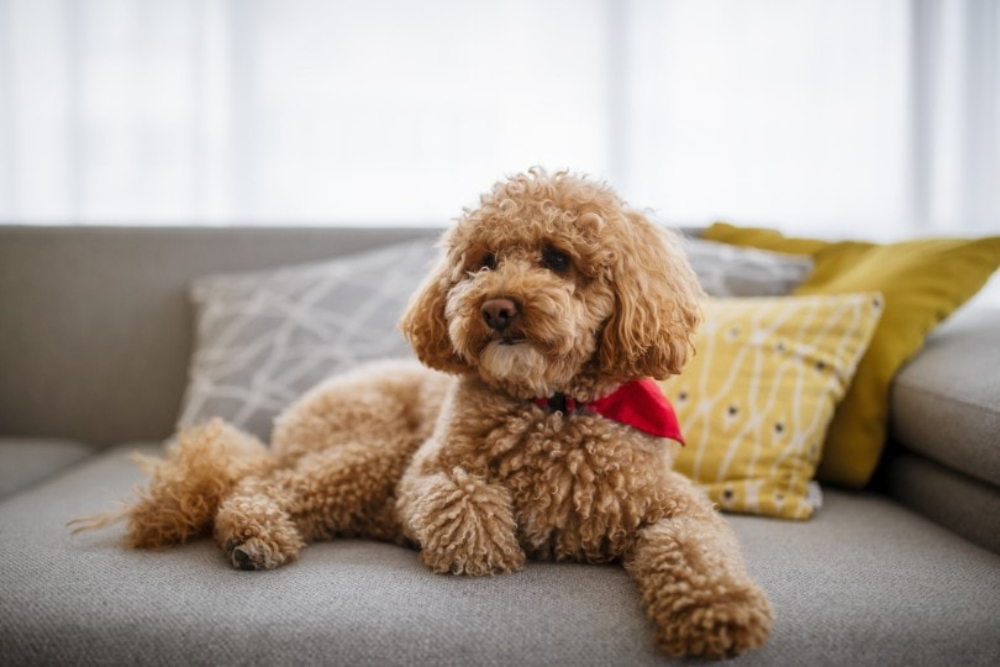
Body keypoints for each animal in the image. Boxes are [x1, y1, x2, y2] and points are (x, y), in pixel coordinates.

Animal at [74, 170, 772, 660]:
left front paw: (719, 611)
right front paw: (487, 551)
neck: (553, 406)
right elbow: (463, 497)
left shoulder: (674, 506)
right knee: (258, 487)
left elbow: (697, 548)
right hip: (372, 449)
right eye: (484, 261)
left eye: (557, 258)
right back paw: (253, 535)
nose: (496, 307)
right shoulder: (428, 470)